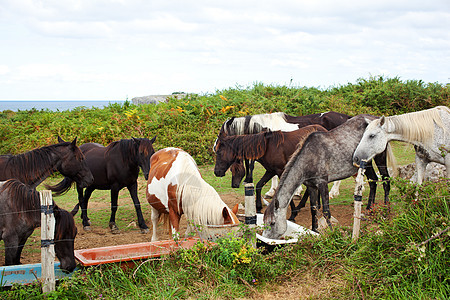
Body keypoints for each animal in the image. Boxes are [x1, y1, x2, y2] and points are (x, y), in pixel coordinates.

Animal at [262, 115, 396, 239]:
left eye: (272, 223)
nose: (264, 239)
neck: (309, 157)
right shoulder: (311, 186)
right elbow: (314, 209)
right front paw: (315, 230)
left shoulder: (322, 183)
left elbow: (326, 211)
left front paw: (332, 233)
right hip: (366, 163)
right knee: (373, 181)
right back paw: (369, 209)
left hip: (379, 158)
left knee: (386, 181)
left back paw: (386, 211)